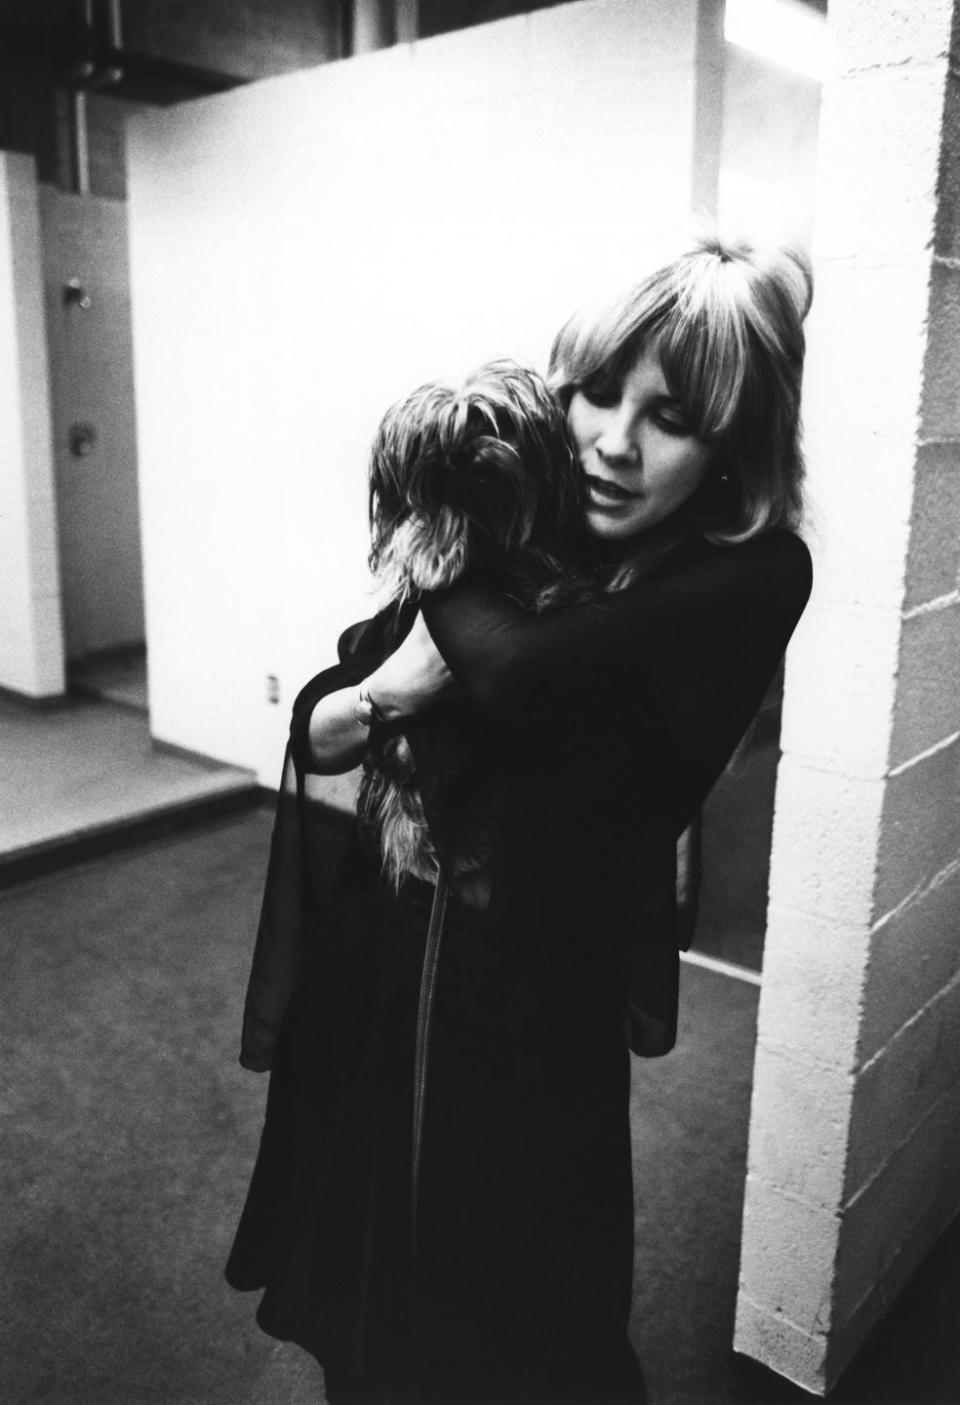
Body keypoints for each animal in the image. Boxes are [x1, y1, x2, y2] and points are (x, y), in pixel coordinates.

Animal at [358, 362, 590, 887]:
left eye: (492, 421)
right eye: (435, 436)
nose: (460, 454)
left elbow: (538, 563)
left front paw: (554, 587)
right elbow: (436, 517)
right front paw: (437, 549)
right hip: (399, 754)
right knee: (404, 811)